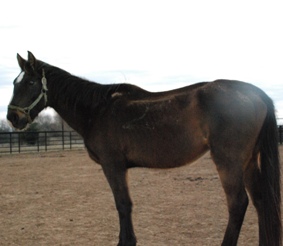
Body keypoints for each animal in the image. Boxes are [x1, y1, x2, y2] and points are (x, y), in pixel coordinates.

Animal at [6, 51, 282, 244]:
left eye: (30, 83)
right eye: (15, 83)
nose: (12, 117)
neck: (97, 110)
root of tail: (254, 93)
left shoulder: (113, 166)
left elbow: (123, 204)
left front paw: (126, 242)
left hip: (228, 161)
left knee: (238, 204)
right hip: (248, 162)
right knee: (260, 200)